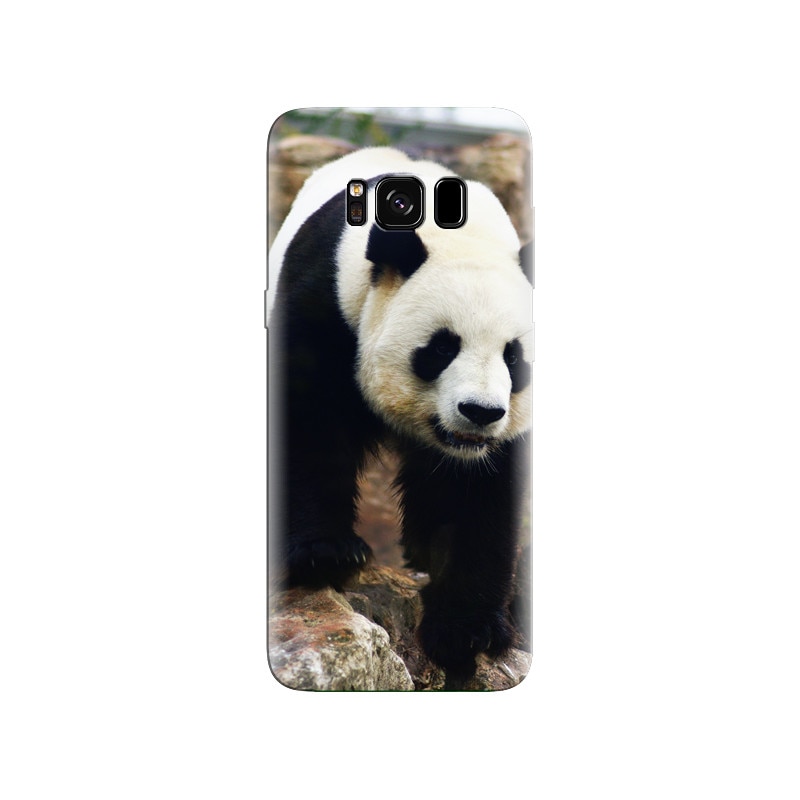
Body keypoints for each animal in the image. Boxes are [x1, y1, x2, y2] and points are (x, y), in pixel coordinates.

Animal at [268, 147, 533, 677]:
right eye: (442, 347)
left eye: (513, 356)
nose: (479, 412)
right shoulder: (328, 305)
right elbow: (310, 424)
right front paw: (323, 554)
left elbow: (479, 494)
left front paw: (467, 629)